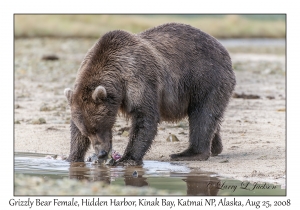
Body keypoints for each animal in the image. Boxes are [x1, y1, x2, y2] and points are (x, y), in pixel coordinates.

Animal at [64, 22, 236, 164]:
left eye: (97, 127)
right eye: (87, 131)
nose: (101, 153)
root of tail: (222, 48)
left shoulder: (139, 78)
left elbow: (145, 116)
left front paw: (127, 158)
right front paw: (73, 156)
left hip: (205, 78)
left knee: (202, 114)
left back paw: (188, 153)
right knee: (211, 118)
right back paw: (216, 147)